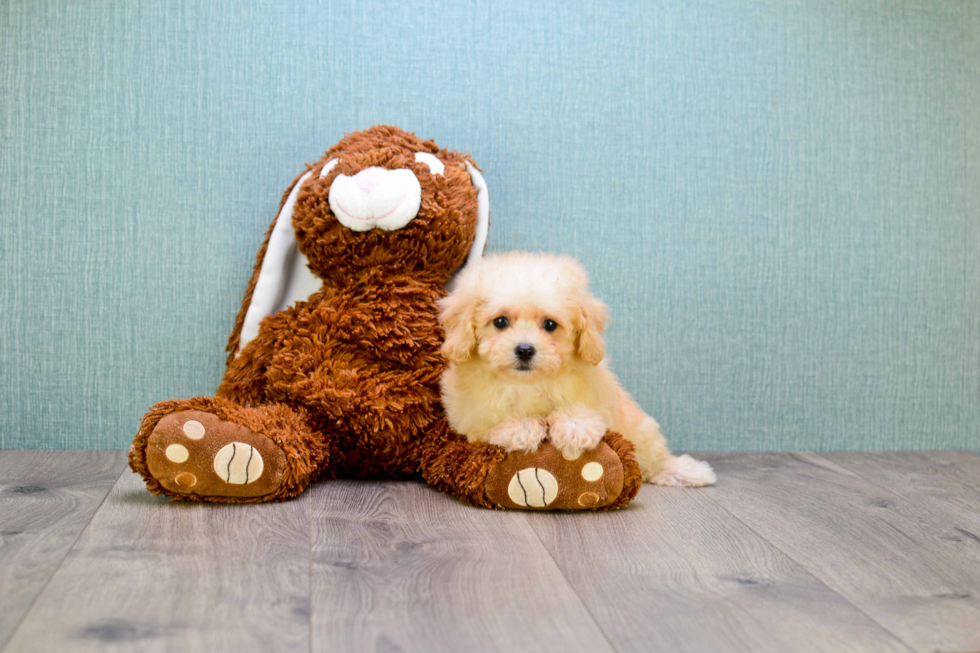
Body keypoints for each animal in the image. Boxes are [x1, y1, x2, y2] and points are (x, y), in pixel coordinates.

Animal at [440, 252, 716, 486]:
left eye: (550, 324)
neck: (529, 383)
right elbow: (494, 424)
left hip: (640, 429)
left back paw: (685, 471)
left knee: (653, 457)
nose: (525, 350)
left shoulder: (599, 399)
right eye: (500, 322)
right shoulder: (471, 418)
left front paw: (574, 427)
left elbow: (585, 412)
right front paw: (522, 428)